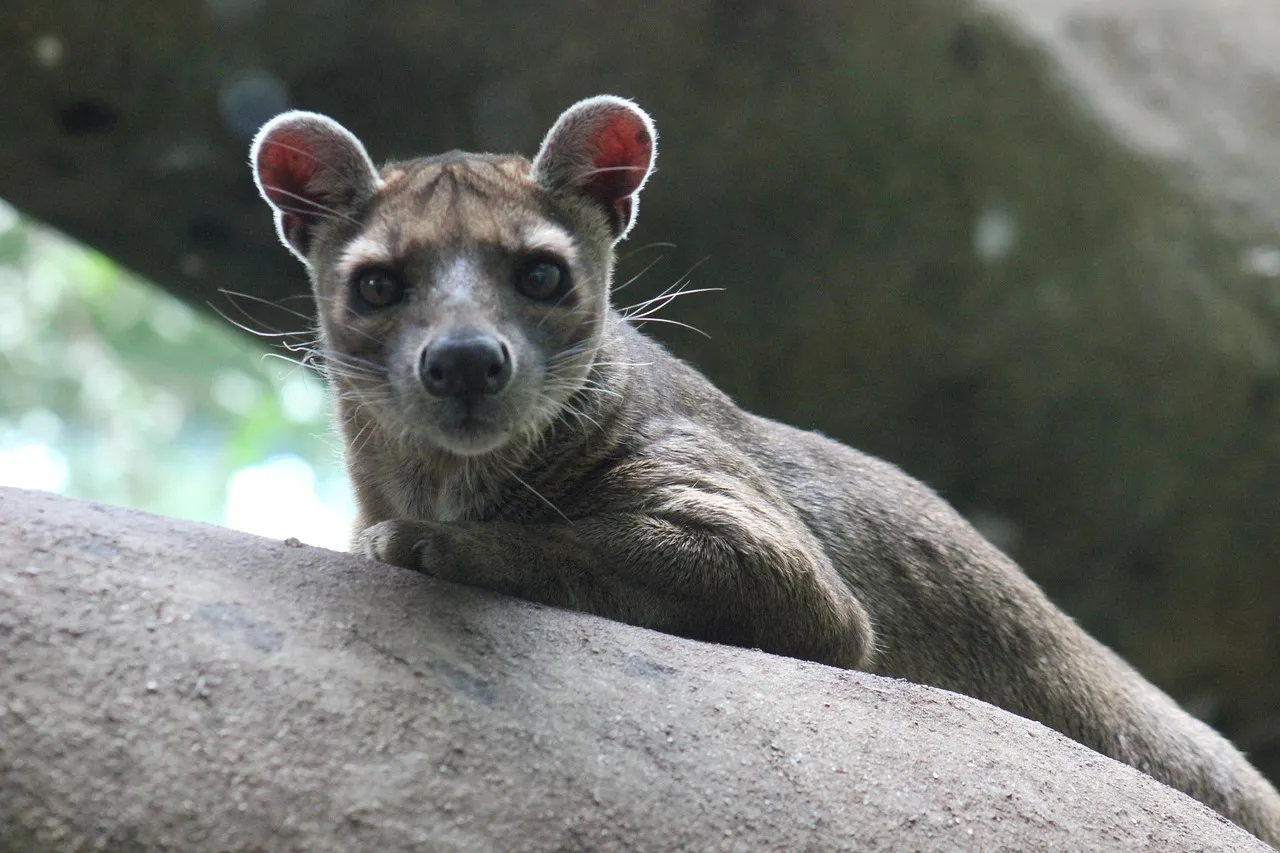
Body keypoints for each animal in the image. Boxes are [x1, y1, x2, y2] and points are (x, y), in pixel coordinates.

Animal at [251, 95, 1280, 846]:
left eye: (540, 273)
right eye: (378, 284)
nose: (465, 360)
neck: (429, 477)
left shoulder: (782, 564)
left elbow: (575, 539)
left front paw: (426, 543)